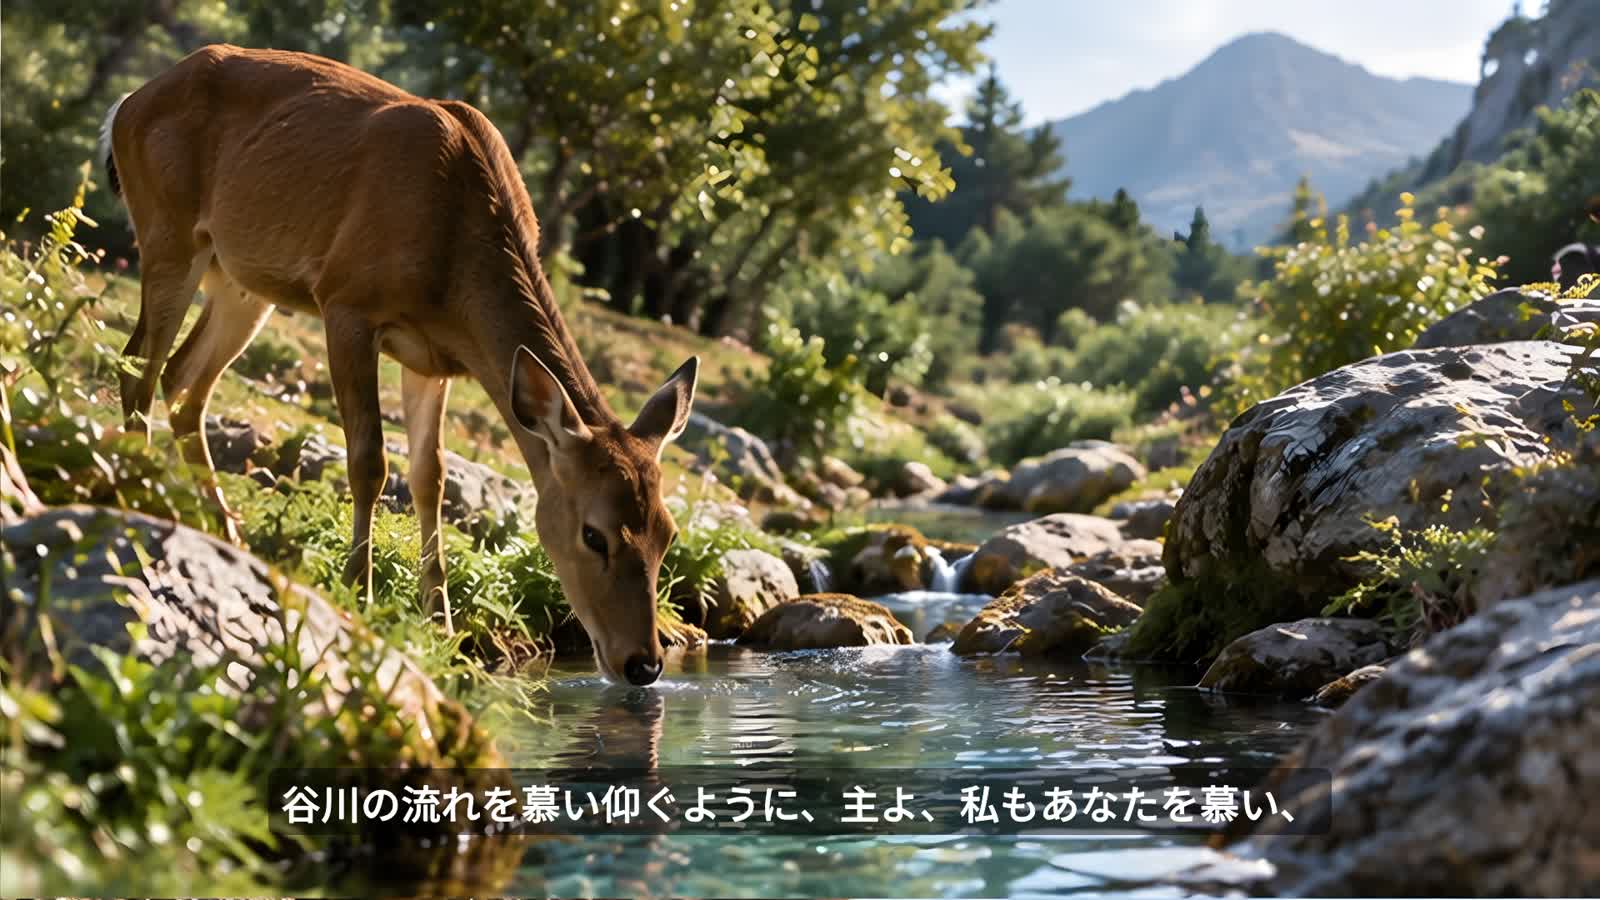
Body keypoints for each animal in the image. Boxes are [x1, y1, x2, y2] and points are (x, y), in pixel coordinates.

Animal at [99, 44, 698, 686]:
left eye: (668, 532)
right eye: (594, 534)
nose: (644, 663)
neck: (454, 259)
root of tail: (128, 104)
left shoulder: (436, 359)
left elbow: (428, 475)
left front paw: (441, 622)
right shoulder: (345, 302)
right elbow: (369, 460)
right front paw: (358, 592)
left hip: (241, 280)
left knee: (182, 379)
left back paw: (225, 528)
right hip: (167, 230)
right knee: (138, 364)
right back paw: (139, 496)